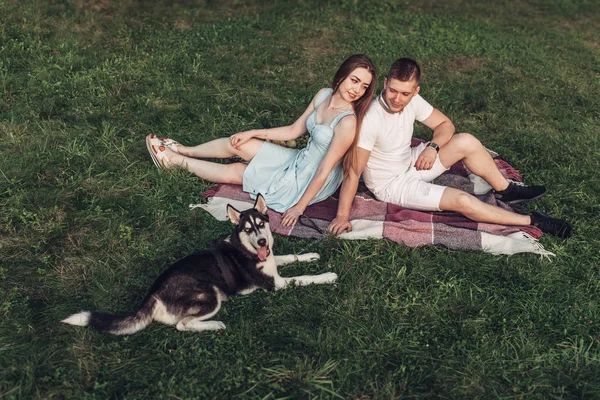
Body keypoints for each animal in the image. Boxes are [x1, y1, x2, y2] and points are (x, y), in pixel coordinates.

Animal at [63, 194, 340, 334]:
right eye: (247, 229)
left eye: (261, 224)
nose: (262, 241)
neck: (248, 250)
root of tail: (152, 294)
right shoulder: (277, 284)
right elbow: (304, 278)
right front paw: (327, 276)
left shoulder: (272, 261)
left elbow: (291, 256)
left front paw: (310, 256)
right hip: (209, 294)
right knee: (182, 325)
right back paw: (214, 325)